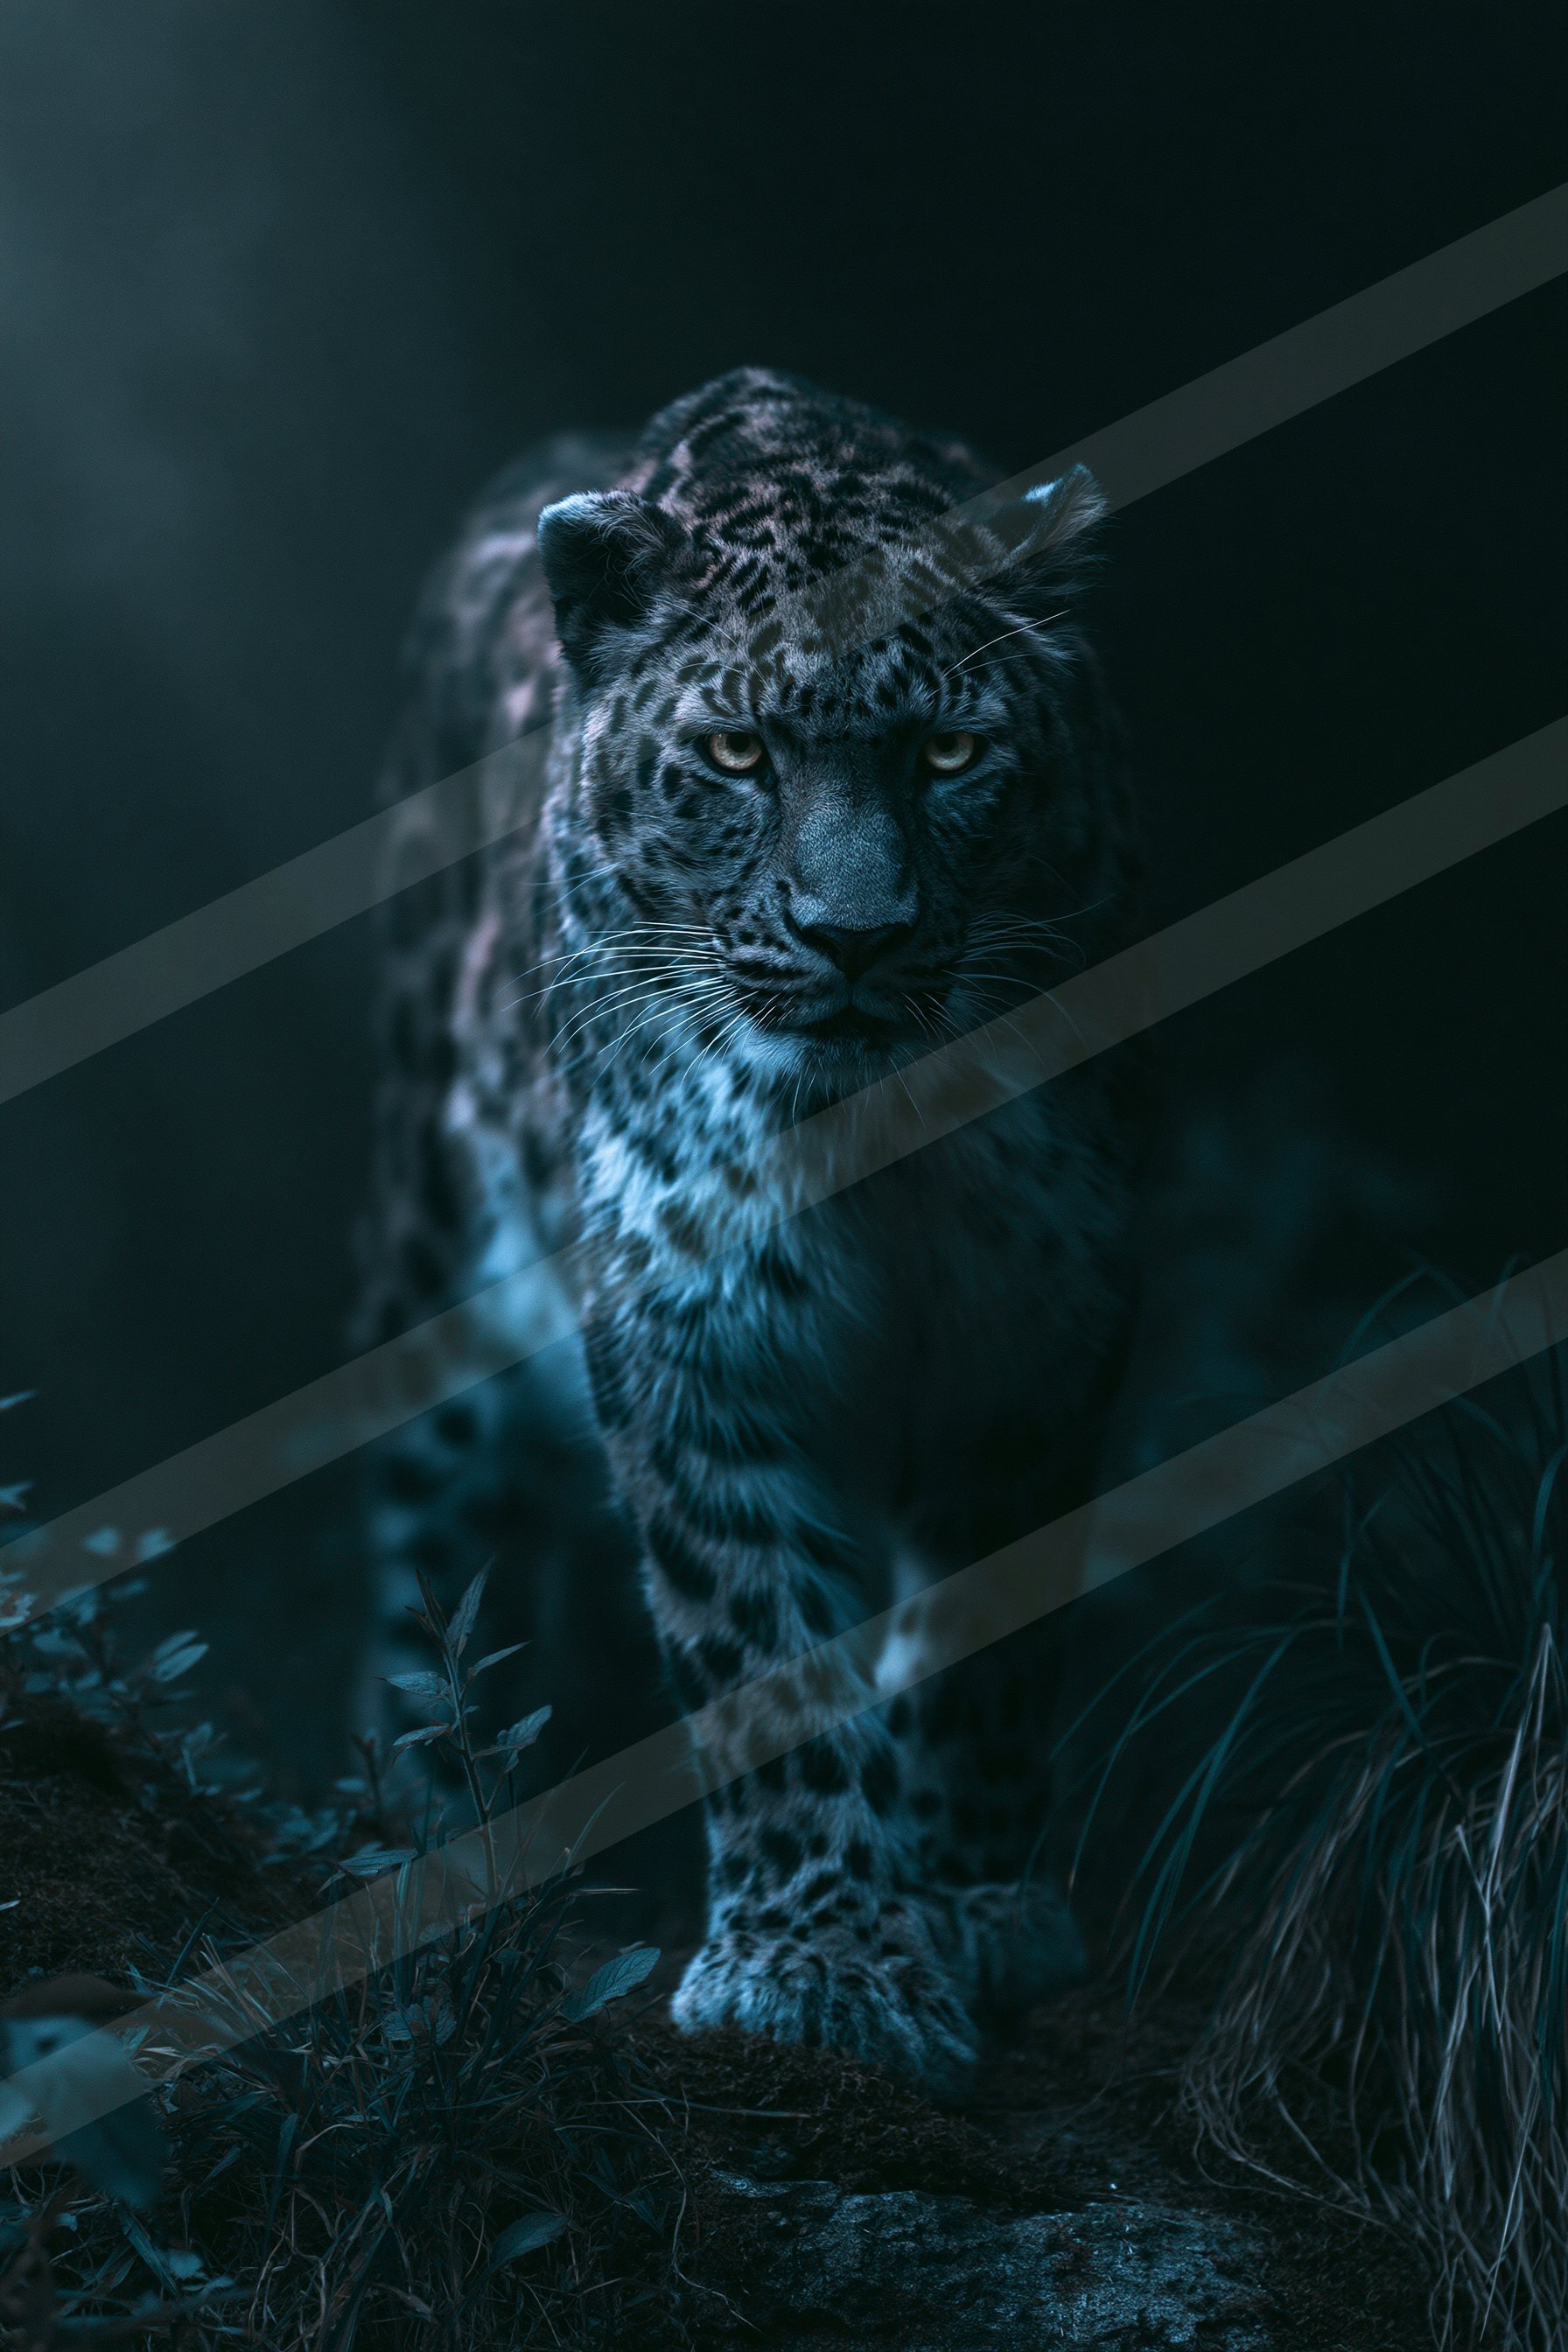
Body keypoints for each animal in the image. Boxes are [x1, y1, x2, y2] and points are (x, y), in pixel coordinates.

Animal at [355, 368, 1149, 2094]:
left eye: (949, 752)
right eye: (733, 751)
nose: (851, 937)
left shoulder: (1041, 1331)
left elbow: (984, 1655)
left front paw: (967, 1905)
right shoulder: (693, 1327)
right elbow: (758, 1650)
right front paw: (815, 1964)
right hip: (427, 1270)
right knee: (426, 1591)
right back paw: (425, 1867)